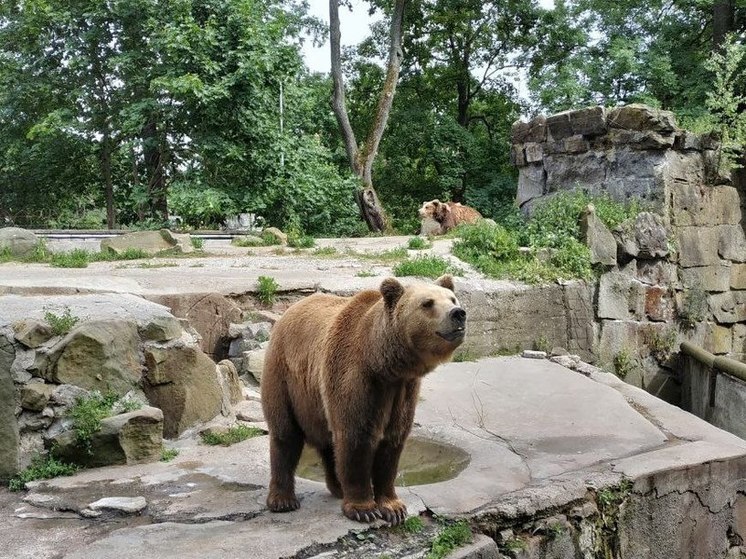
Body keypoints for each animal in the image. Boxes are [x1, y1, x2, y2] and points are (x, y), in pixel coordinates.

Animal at [258, 274, 462, 524]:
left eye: (452, 298)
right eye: (427, 303)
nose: (458, 313)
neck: (383, 364)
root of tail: (289, 310)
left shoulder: (403, 391)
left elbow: (392, 443)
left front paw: (393, 507)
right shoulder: (356, 378)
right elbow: (356, 437)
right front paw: (363, 508)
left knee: (328, 442)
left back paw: (337, 486)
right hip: (284, 376)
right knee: (285, 435)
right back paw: (283, 500)